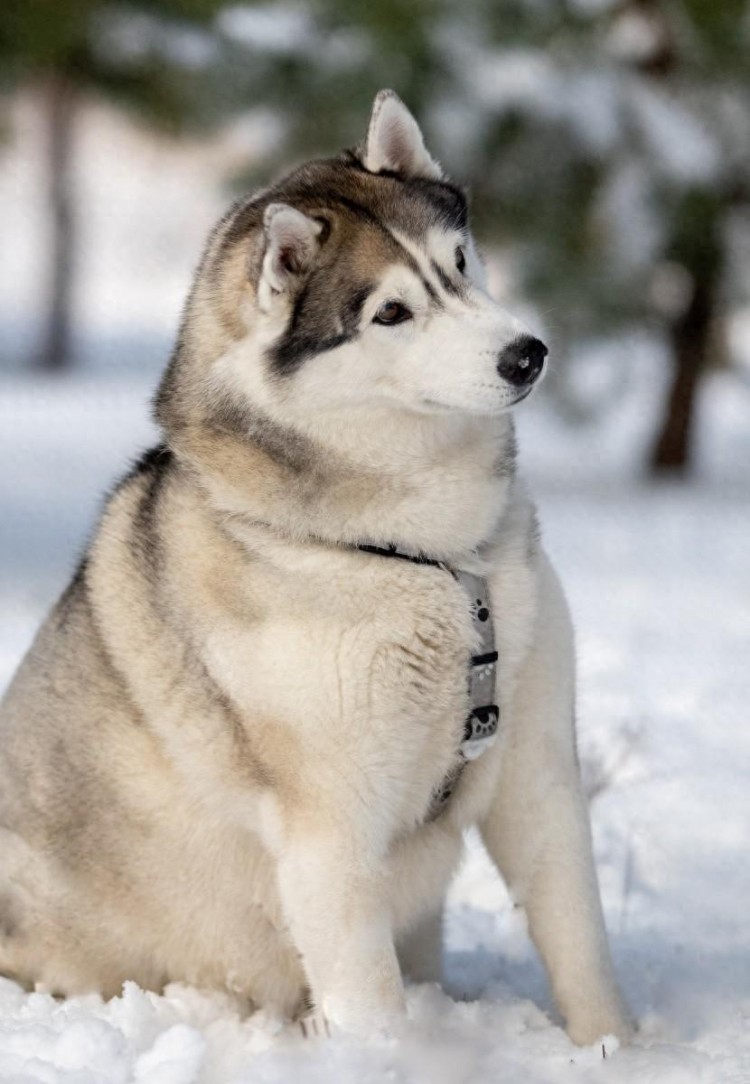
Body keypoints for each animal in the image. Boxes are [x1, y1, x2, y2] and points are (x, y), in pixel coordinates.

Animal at [0, 91, 628, 1040]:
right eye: (391, 313)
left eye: (460, 261)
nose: (527, 353)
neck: (432, 558)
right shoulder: (330, 826)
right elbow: (369, 1002)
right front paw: (389, 1057)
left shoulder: (536, 768)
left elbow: (580, 943)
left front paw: (617, 1050)